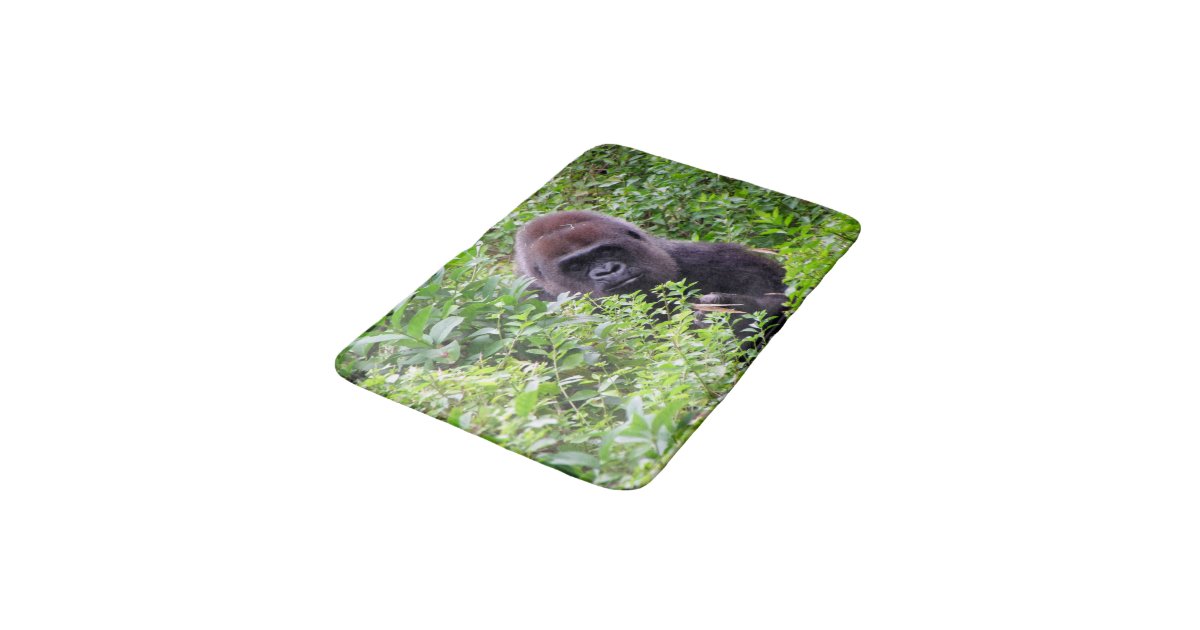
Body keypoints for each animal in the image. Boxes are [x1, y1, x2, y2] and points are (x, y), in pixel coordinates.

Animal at [514, 210, 789, 339]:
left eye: (606, 250)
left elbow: (779, 291)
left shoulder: (713, 257)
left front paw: (735, 310)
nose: (608, 270)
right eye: (575, 265)